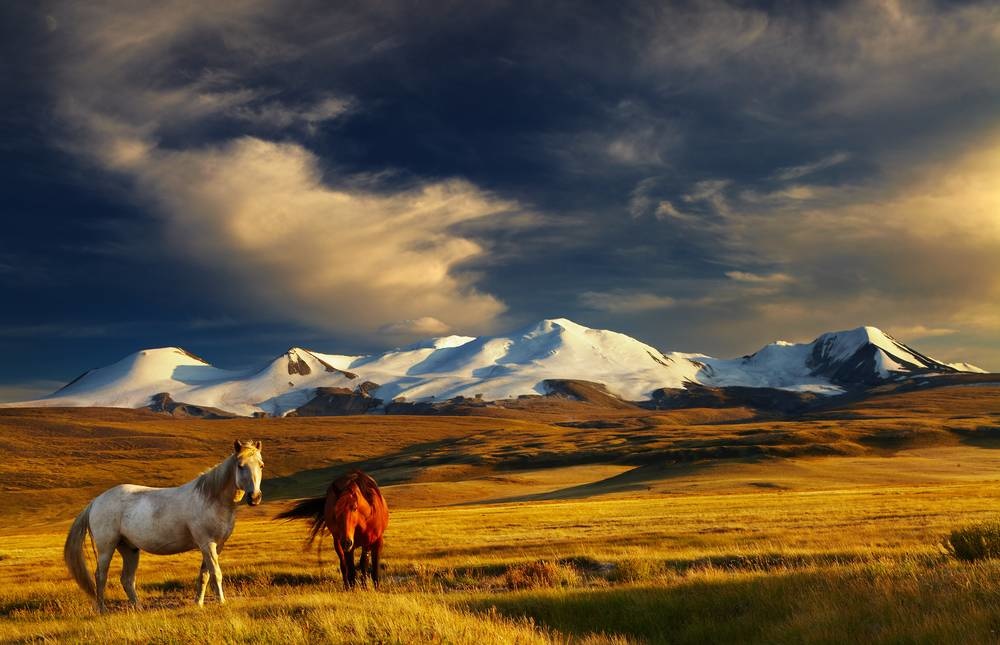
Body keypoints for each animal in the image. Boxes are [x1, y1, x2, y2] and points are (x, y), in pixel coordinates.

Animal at [64, 438, 264, 608]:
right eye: (240, 466)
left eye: (261, 465)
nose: (255, 497)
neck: (211, 499)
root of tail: (95, 501)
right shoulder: (207, 544)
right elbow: (216, 573)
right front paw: (221, 602)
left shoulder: (216, 545)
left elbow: (205, 575)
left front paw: (198, 603)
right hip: (107, 547)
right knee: (101, 576)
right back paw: (102, 609)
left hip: (129, 549)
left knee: (127, 579)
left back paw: (138, 608)